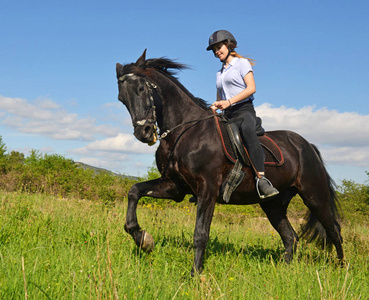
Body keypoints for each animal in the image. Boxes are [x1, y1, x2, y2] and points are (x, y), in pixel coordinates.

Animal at [116, 50, 344, 276]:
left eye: (141, 88)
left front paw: (195, 274)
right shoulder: (174, 187)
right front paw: (143, 239)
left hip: (314, 196)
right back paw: (285, 271)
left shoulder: (207, 189)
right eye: (121, 99)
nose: (144, 133)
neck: (184, 132)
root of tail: (307, 145)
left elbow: (200, 234)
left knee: (334, 230)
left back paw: (342, 269)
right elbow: (134, 191)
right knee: (291, 237)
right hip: (272, 204)